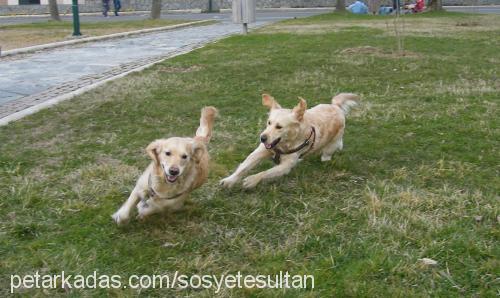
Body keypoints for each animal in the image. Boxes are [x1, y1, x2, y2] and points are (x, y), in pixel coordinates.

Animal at [221, 93, 358, 189]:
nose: (262, 137)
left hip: (331, 146)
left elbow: (266, 172)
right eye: (269, 122)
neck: (284, 144)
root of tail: (335, 106)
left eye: (279, 127)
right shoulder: (261, 150)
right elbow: (244, 167)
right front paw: (229, 180)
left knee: (329, 153)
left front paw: (252, 180)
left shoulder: (286, 165)